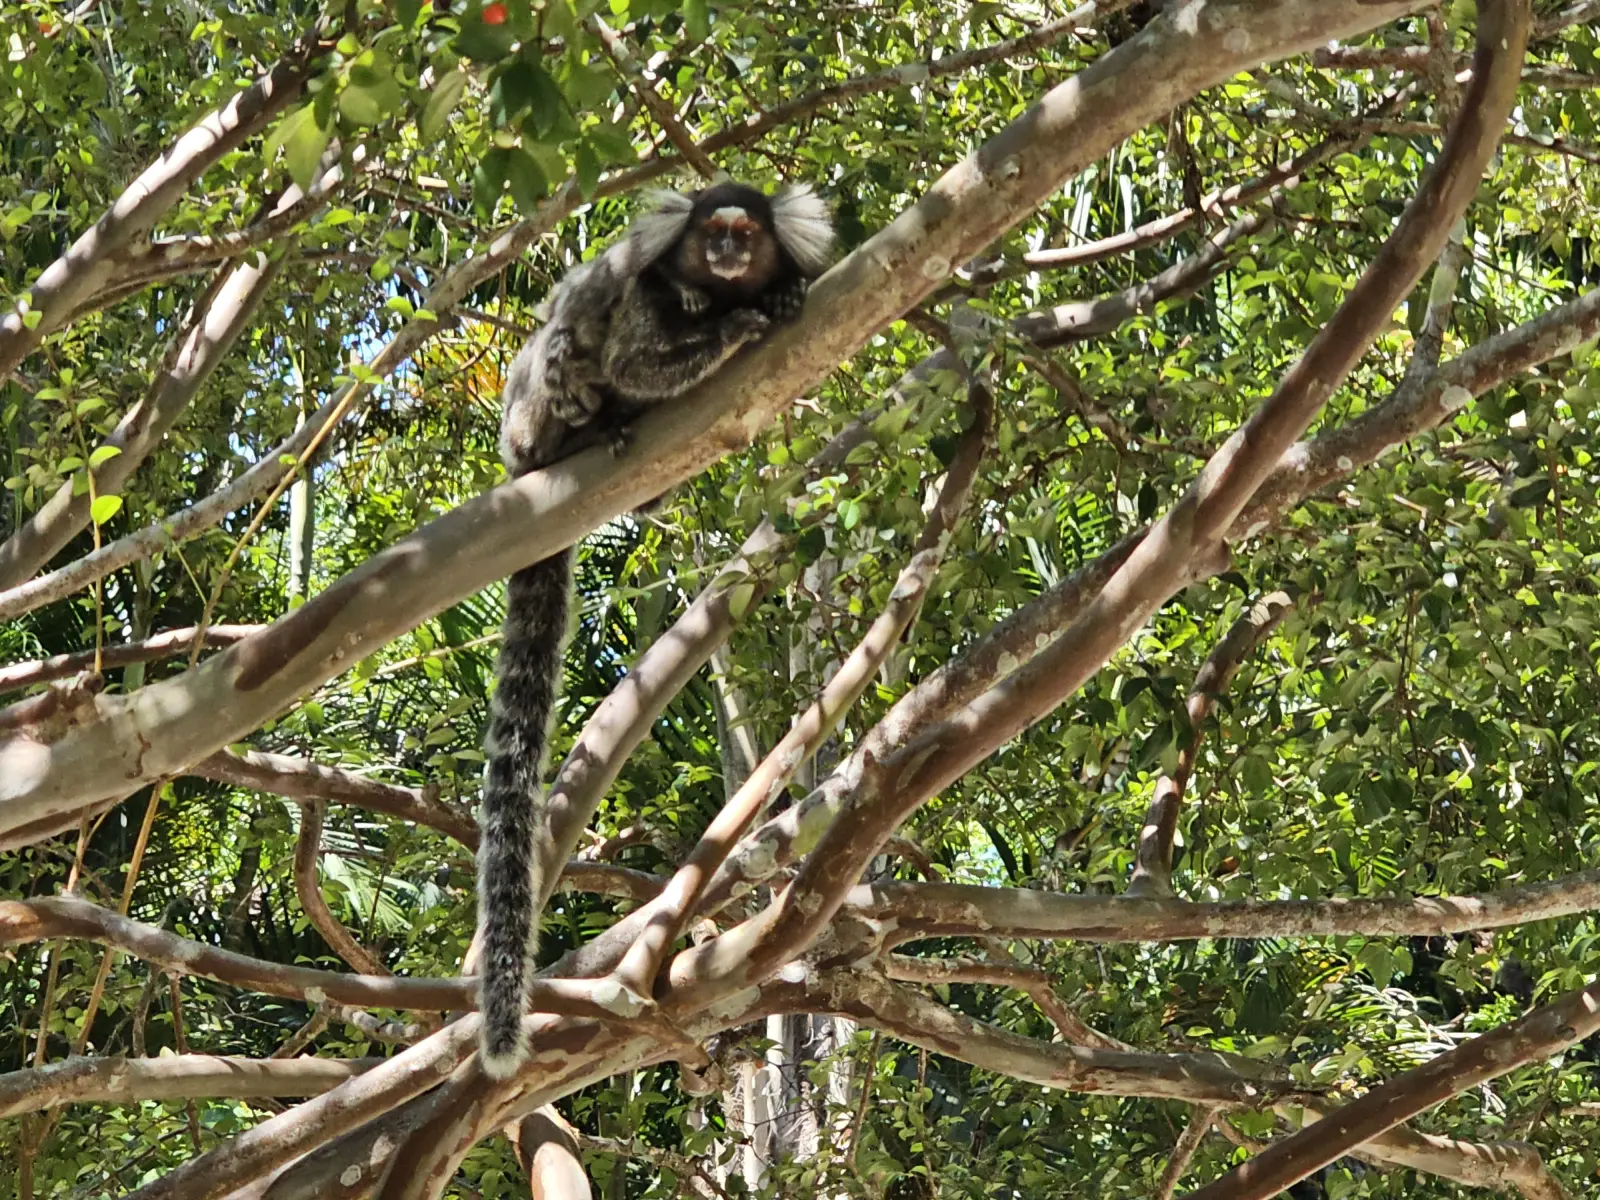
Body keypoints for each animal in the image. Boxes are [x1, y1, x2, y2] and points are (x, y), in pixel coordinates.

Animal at [477, 180, 835, 1079]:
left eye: (746, 234)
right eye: (712, 235)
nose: (728, 258)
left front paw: (773, 302)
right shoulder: (641, 292)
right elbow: (627, 356)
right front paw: (729, 326)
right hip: (524, 423)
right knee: (559, 352)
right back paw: (576, 427)